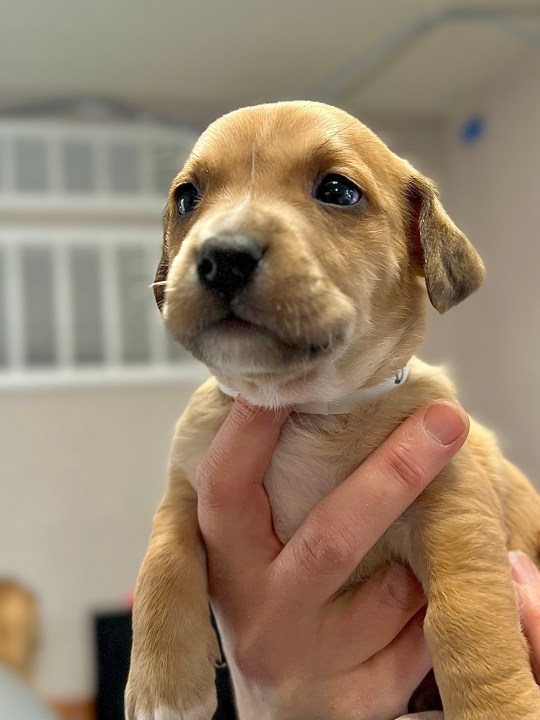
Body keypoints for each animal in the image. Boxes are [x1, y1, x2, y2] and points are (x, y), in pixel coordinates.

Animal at [124, 102, 540, 720]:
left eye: (339, 191)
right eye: (186, 197)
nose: (223, 257)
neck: (307, 410)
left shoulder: (454, 509)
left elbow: (469, 617)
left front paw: (498, 707)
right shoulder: (187, 489)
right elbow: (162, 559)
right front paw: (162, 684)